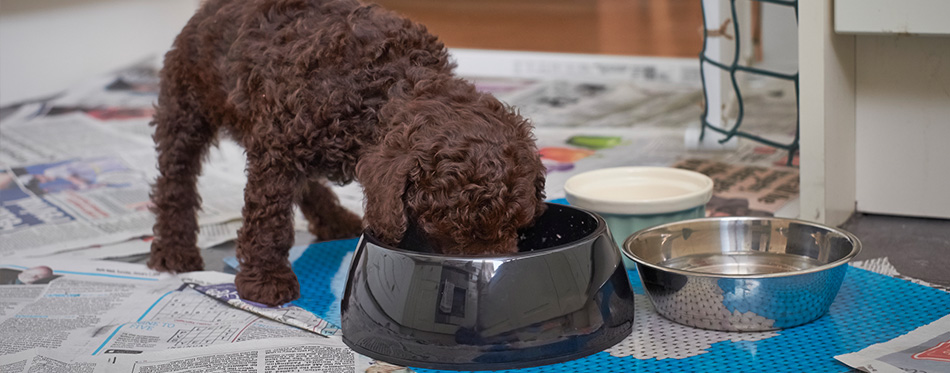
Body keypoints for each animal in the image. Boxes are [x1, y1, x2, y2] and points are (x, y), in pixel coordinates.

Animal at [150, 0, 552, 306]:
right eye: (452, 232)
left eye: (517, 226)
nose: (495, 285)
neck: (385, 86)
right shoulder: (277, 150)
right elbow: (270, 219)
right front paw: (265, 280)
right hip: (187, 102)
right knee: (175, 178)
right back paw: (174, 249)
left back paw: (333, 219)